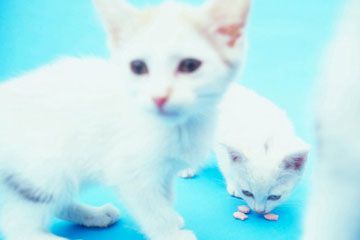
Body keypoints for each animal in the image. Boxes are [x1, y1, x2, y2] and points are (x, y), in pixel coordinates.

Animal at [0, 0, 250, 240]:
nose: (159, 97)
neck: (179, 126)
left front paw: (172, 216)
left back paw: (95, 214)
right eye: (138, 67)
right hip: (46, 170)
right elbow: (153, 208)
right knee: (18, 226)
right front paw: (170, 233)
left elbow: (165, 195)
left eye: (189, 65)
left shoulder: (165, 170)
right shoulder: (131, 172)